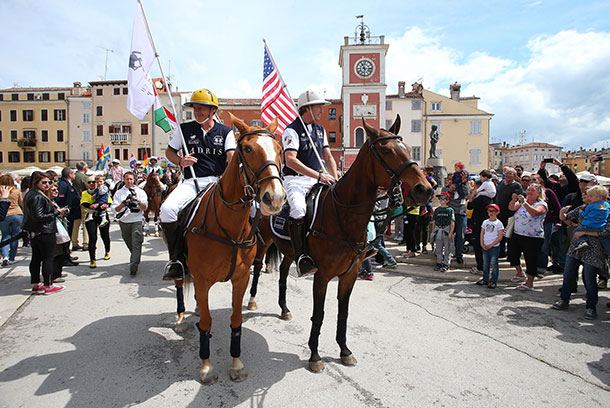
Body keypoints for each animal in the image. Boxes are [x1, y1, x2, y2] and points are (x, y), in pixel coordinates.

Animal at [183, 113, 284, 384]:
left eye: (279, 149)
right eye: (247, 149)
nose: (275, 198)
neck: (228, 227)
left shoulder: (240, 278)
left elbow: (236, 320)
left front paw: (237, 364)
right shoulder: (203, 279)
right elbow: (207, 322)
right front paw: (206, 367)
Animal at [246, 115, 428, 372]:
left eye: (407, 149)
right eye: (387, 150)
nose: (425, 189)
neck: (342, 214)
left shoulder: (349, 274)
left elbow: (344, 313)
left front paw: (344, 351)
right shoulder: (322, 275)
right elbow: (319, 314)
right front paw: (314, 356)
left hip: (289, 252)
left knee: (282, 274)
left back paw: (284, 309)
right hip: (263, 244)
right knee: (257, 267)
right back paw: (252, 301)